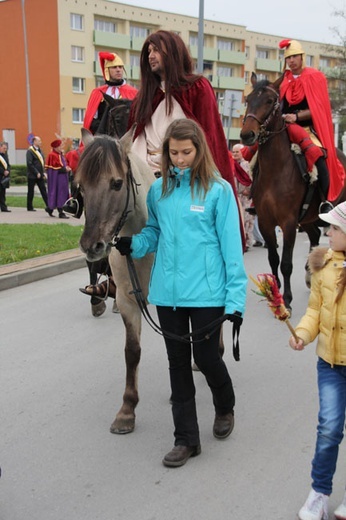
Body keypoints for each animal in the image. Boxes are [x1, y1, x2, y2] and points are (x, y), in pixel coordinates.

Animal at [241, 74, 346, 310]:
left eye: (270, 101)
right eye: (248, 100)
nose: (246, 135)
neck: (276, 170)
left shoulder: (288, 222)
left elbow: (286, 263)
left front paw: (287, 300)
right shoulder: (266, 221)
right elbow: (273, 258)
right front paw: (275, 293)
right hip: (308, 218)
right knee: (315, 235)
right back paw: (311, 275)